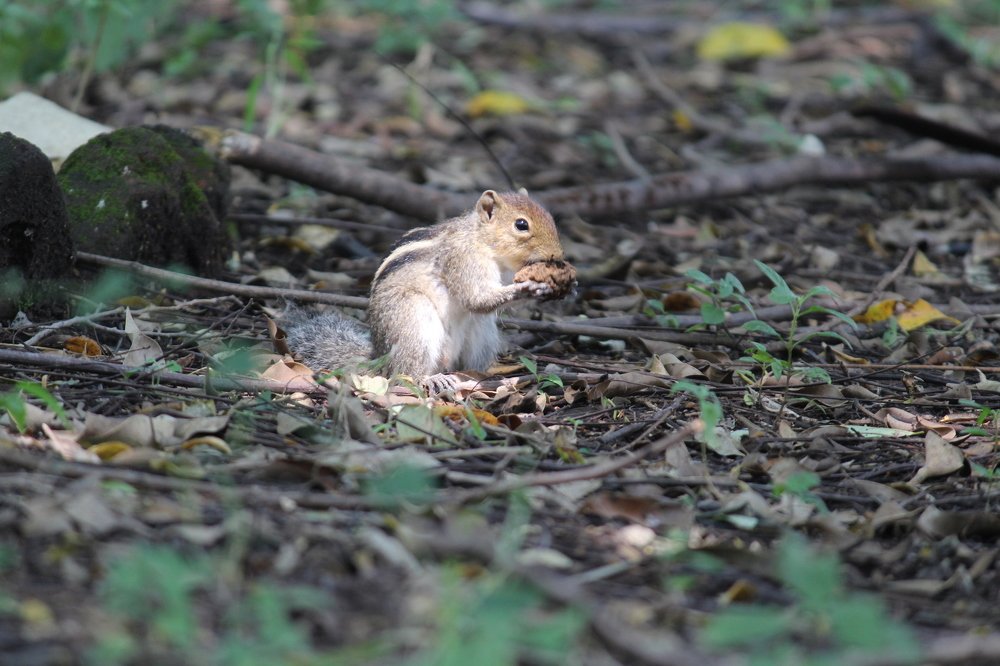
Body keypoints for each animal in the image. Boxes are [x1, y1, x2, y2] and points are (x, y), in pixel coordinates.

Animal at [285, 189, 566, 386]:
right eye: (521, 225)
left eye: (551, 218)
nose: (558, 255)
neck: (482, 240)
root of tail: (381, 356)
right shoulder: (462, 259)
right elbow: (476, 298)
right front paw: (529, 287)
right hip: (413, 320)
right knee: (403, 373)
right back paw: (431, 379)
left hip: (481, 333)